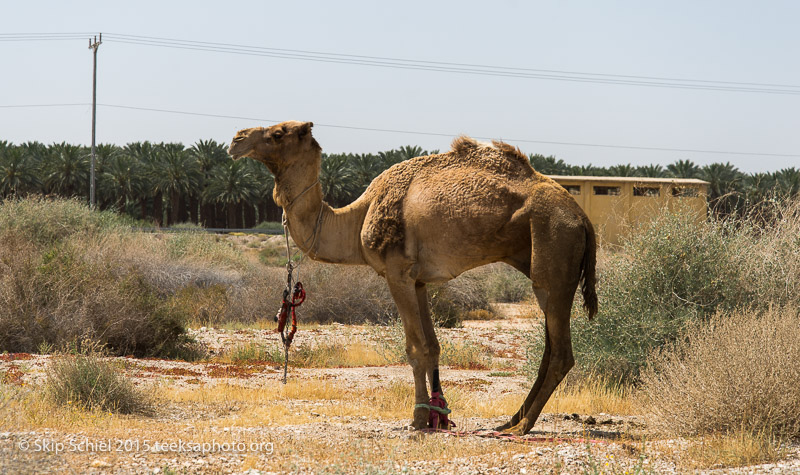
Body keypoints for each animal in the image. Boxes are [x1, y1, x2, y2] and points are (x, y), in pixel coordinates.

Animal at [228, 120, 596, 436]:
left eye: (278, 133)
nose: (236, 140)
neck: (357, 218)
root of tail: (582, 217)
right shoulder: (419, 280)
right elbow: (432, 346)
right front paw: (440, 415)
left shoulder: (397, 273)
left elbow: (415, 347)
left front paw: (418, 419)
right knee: (550, 348)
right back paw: (510, 421)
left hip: (553, 249)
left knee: (560, 351)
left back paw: (521, 427)